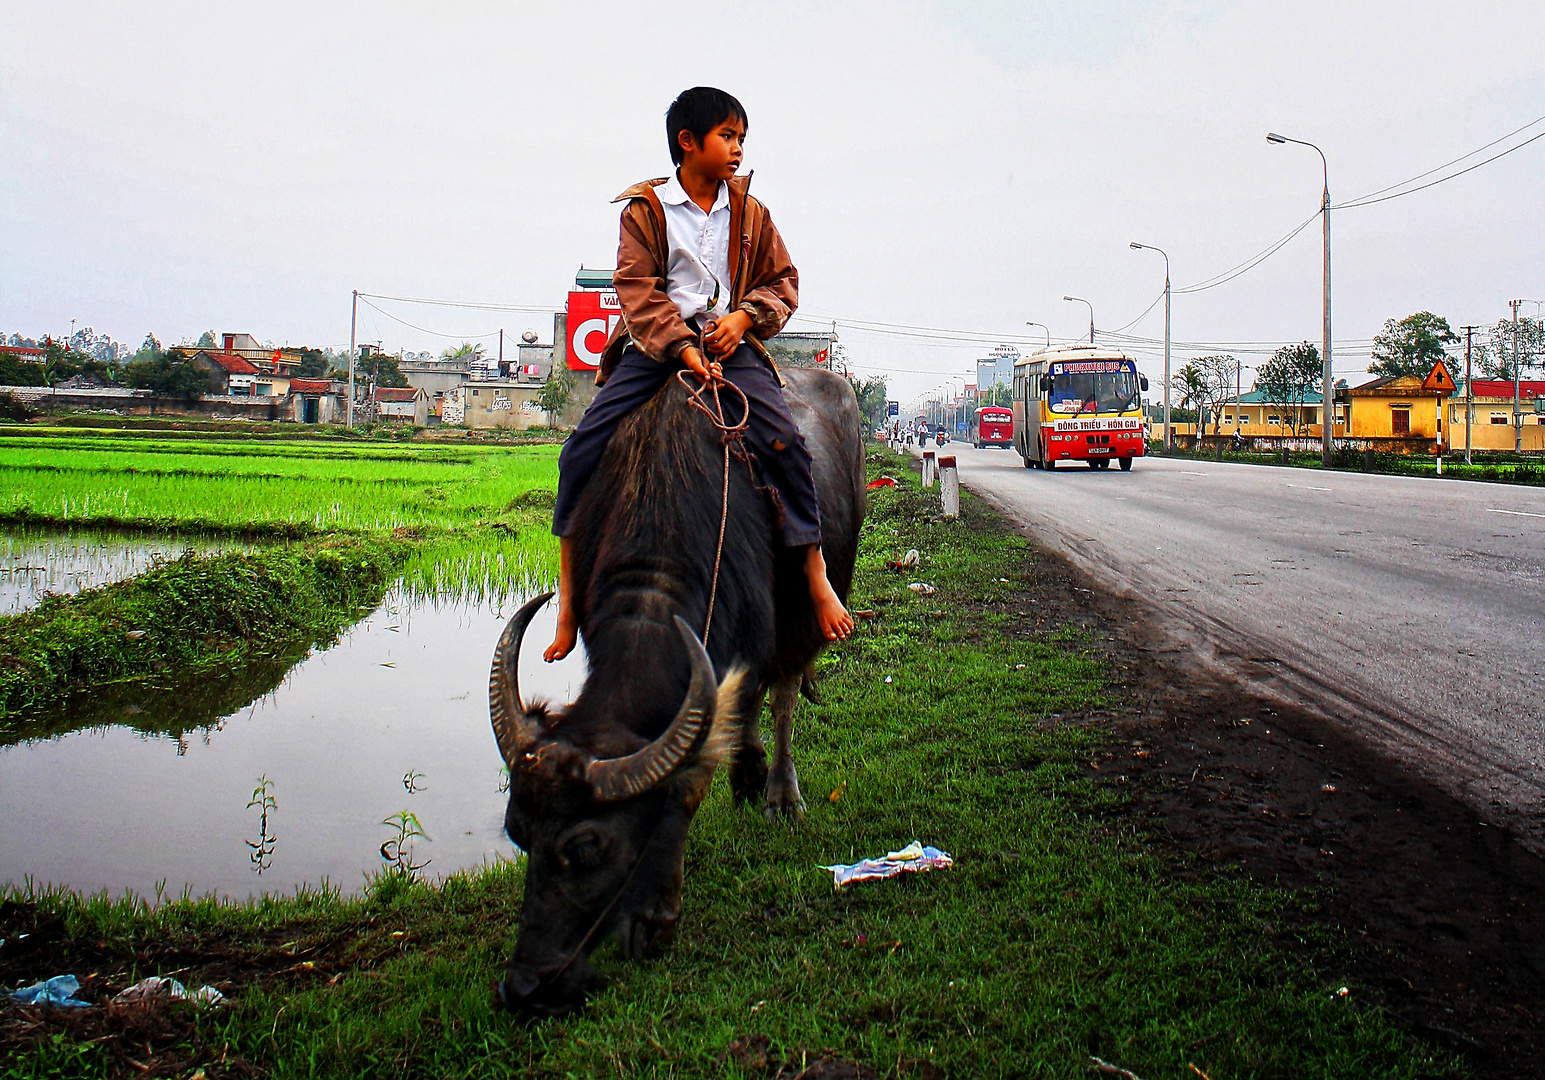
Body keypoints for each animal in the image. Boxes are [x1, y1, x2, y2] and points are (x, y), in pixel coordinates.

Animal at [488, 367, 865, 1019]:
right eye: (519, 833)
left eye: (588, 848)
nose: (526, 987)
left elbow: (690, 775)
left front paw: (654, 915)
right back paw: (749, 772)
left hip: (808, 609)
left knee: (784, 694)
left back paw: (778, 791)